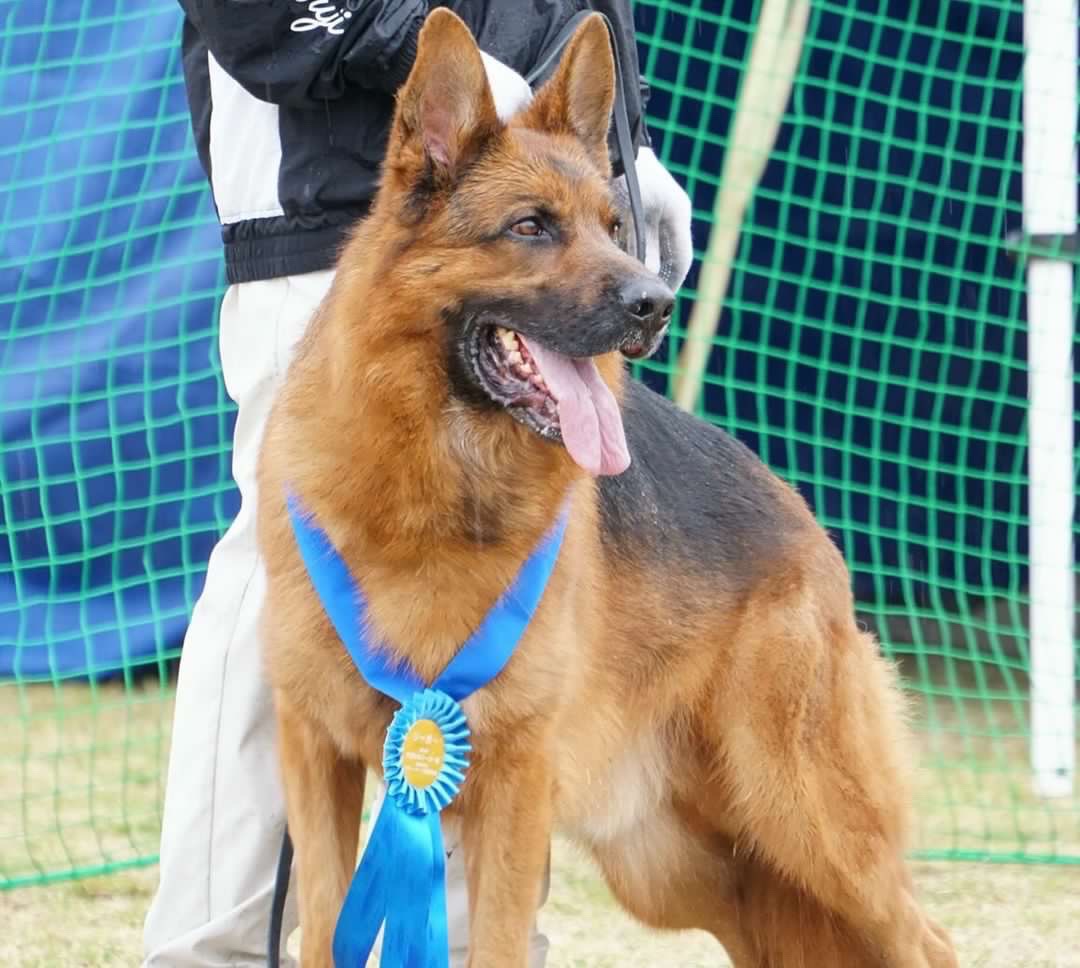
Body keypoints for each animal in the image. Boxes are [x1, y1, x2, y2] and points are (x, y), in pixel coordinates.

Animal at [257, 9, 959, 968]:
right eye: (530, 227)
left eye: (609, 224)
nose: (656, 304)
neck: (431, 485)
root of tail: (804, 519)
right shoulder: (314, 751)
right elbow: (324, 929)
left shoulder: (509, 779)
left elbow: (499, 944)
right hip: (695, 869)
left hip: (807, 817)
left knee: (928, 938)